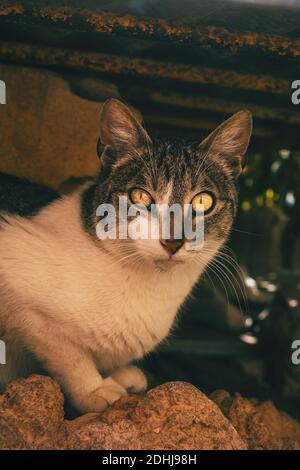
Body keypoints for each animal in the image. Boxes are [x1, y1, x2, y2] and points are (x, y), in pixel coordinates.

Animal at [0, 98, 253, 412]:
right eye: (140, 196)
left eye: (203, 201)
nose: (173, 241)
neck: (153, 290)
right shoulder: (26, 299)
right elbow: (70, 357)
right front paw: (95, 389)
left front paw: (121, 373)